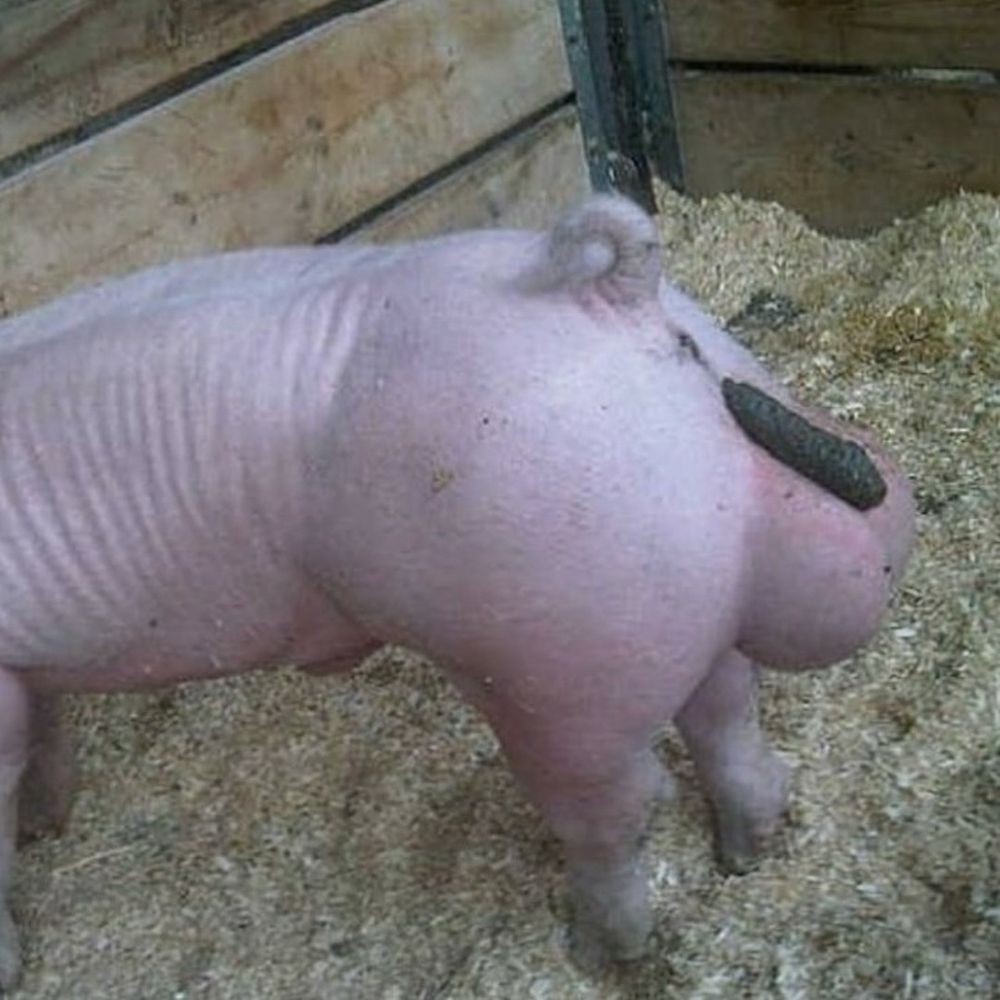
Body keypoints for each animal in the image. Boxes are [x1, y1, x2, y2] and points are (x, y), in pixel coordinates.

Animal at [0, 194, 914, 989]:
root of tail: (607, 293)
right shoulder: (27, 672)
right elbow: (45, 732)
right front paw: (47, 822)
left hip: (553, 661)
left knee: (623, 805)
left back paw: (595, 951)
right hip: (663, 594)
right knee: (726, 714)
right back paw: (744, 855)